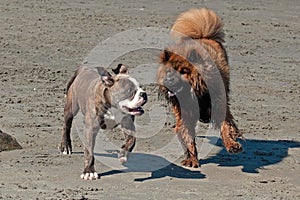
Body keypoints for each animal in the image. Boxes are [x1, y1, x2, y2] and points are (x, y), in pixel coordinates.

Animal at [157, 7, 244, 168]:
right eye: (168, 71)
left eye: (183, 71)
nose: (169, 80)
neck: (195, 93)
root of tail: (203, 36)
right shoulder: (184, 114)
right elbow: (187, 135)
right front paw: (191, 159)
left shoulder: (219, 105)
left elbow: (226, 127)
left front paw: (232, 145)